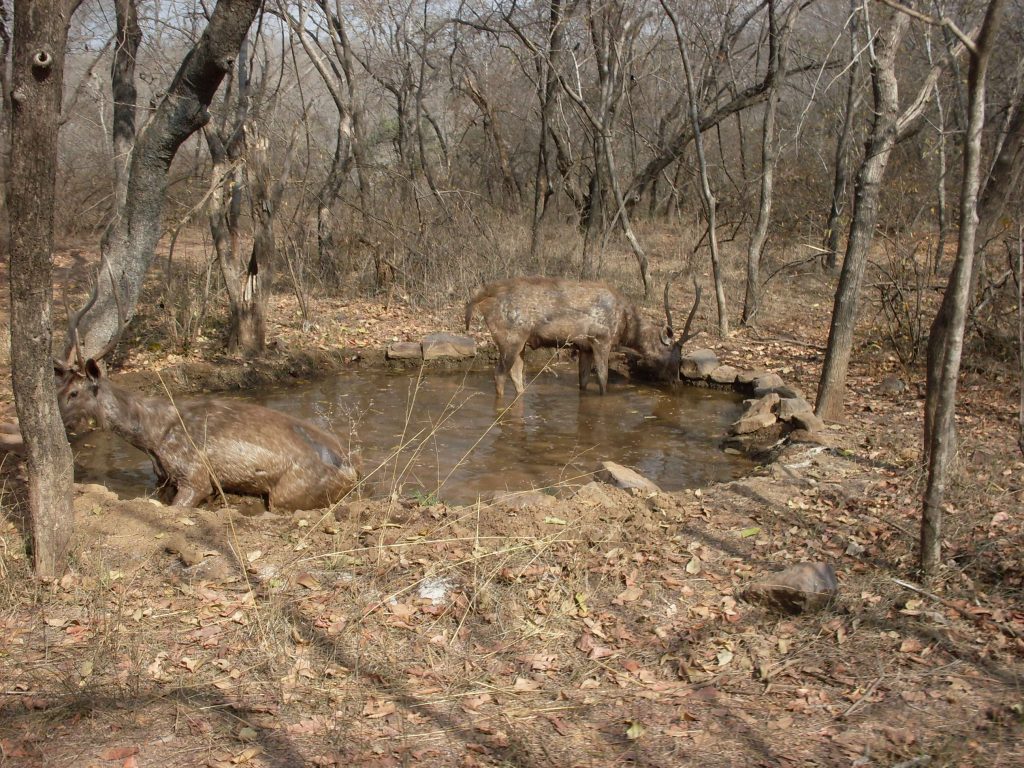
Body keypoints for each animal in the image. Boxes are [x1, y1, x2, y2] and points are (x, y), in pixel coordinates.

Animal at [466, 276, 700, 397]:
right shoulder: (600, 339)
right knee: (499, 374)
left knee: (516, 374)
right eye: (675, 354)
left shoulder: (584, 347)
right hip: (510, 337)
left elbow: (584, 381)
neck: (626, 328)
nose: (677, 381)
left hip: (521, 341)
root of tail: (480, 299)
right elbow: (603, 380)